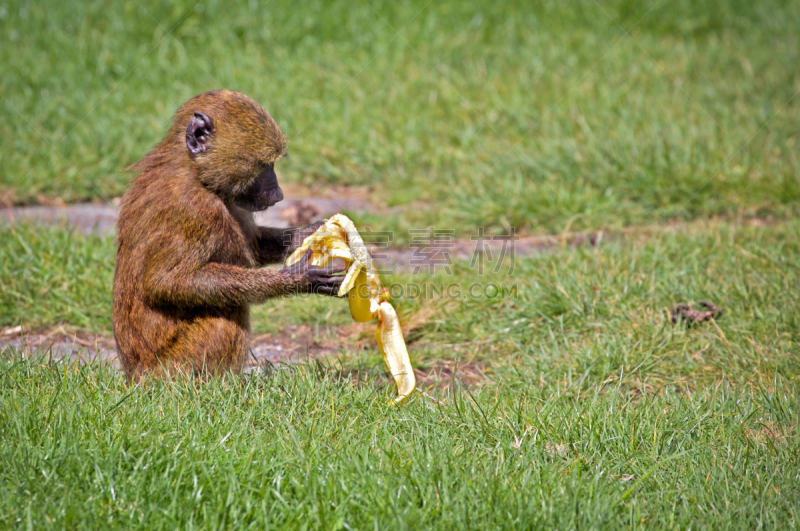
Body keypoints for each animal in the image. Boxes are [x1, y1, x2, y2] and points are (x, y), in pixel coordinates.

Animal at [111, 90, 342, 378]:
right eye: (265, 165)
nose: (278, 194)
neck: (195, 172)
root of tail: (136, 373)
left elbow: (254, 244)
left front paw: (308, 234)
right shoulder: (193, 208)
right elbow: (166, 283)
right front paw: (298, 278)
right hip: (171, 366)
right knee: (227, 311)